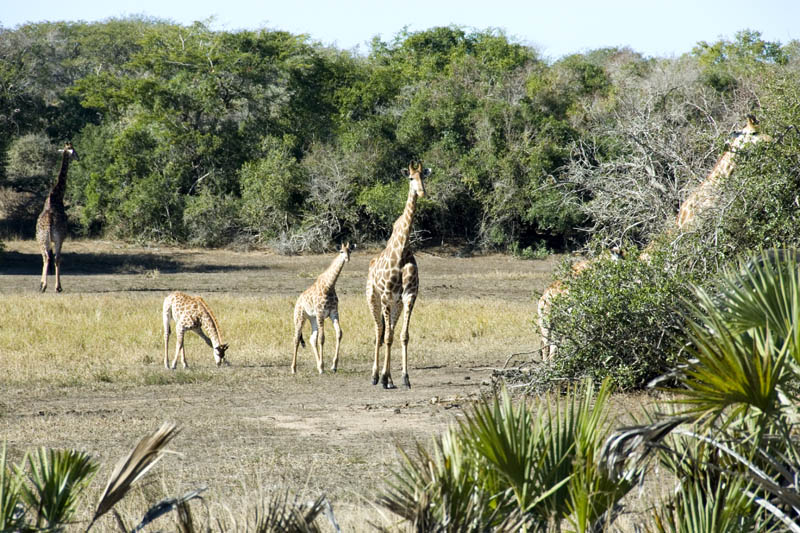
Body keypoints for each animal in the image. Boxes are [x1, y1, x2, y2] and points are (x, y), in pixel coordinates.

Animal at [36, 142, 78, 293]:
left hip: (44, 239)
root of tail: (49, 223)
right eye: (74, 151)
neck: (57, 195)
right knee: (52, 257)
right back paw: (52, 286)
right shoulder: (61, 237)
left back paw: (44, 286)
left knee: (47, 257)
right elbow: (56, 258)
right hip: (54, 238)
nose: (78, 158)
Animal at [292, 242, 353, 375]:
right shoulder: (320, 313)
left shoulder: (334, 313)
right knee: (296, 338)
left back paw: (317, 366)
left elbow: (339, 333)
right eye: (341, 251)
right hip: (300, 318)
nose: (347, 259)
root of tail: (297, 302)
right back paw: (293, 368)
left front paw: (333, 366)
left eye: (350, 251)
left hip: (312, 318)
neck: (329, 286)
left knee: (311, 339)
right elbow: (322, 338)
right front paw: (323, 366)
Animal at [366, 161, 429, 389]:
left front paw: (404, 378)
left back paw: (389, 378)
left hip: (396, 304)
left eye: (423, 176)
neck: (402, 251)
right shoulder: (386, 296)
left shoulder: (408, 296)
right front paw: (382, 378)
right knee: (379, 332)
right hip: (373, 298)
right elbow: (386, 337)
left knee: (390, 330)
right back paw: (376, 376)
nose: (422, 192)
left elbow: (403, 336)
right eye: (410, 178)